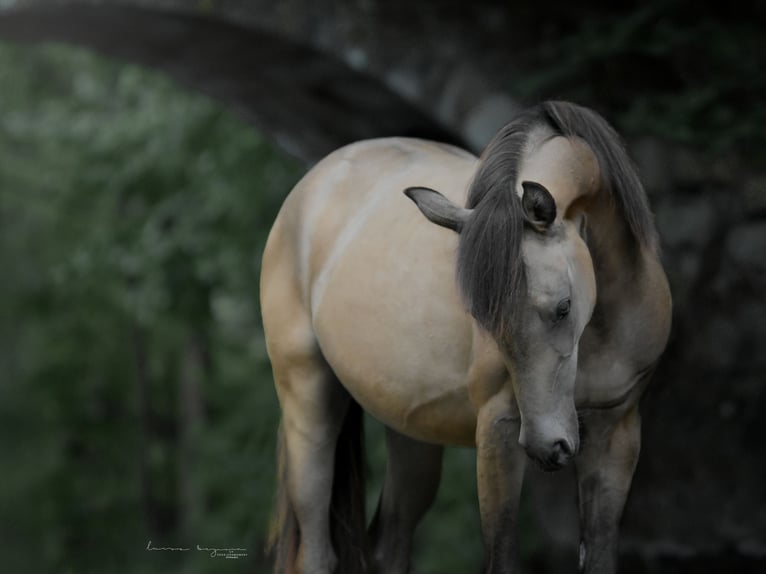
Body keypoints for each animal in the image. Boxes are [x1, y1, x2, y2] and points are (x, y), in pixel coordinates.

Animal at [260, 100, 671, 574]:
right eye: (482, 317)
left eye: (563, 307)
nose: (548, 446)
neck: (600, 328)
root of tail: (315, 182)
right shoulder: (498, 430)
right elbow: (502, 557)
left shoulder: (616, 432)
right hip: (307, 404)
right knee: (316, 551)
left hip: (412, 432)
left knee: (390, 544)